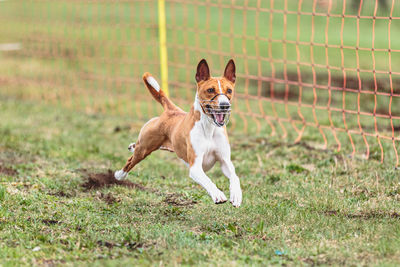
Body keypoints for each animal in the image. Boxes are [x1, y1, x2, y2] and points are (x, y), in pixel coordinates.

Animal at [114, 59, 242, 208]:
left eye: (229, 90)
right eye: (210, 90)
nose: (224, 105)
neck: (209, 128)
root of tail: (171, 110)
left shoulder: (224, 160)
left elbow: (235, 177)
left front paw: (236, 195)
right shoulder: (195, 167)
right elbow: (208, 181)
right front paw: (218, 194)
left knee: (135, 149)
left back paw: (131, 146)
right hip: (144, 148)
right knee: (131, 161)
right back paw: (119, 175)